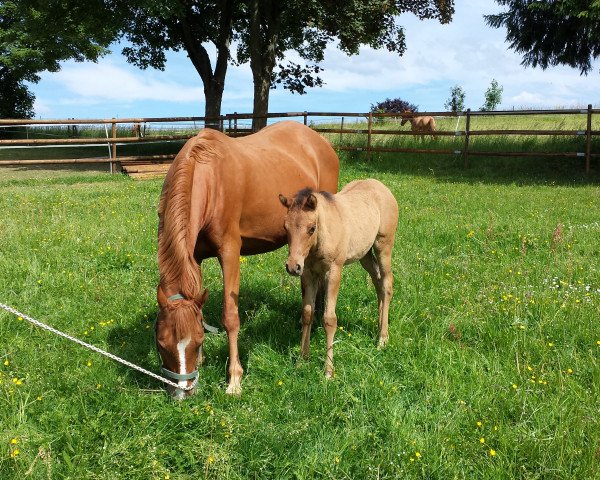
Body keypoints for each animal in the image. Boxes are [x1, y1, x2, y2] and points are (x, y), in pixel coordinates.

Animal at [157, 121, 340, 398]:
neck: (209, 178)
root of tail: (322, 143)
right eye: (160, 343)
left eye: (197, 340)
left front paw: (234, 380)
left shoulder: (230, 252)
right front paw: (201, 361)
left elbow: (230, 318)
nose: (182, 392)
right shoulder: (195, 258)